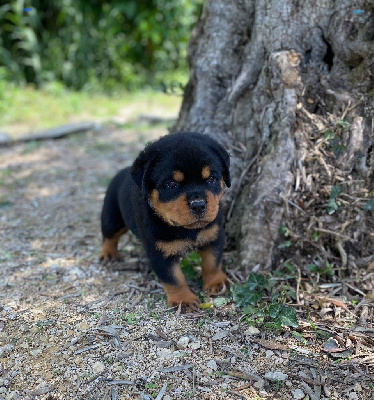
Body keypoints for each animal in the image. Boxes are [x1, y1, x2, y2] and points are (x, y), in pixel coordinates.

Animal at [101, 132, 231, 312]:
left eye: (211, 179)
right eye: (171, 184)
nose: (198, 204)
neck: (186, 229)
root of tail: (123, 171)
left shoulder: (214, 236)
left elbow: (213, 261)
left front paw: (216, 282)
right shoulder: (159, 252)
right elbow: (174, 278)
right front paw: (184, 299)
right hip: (112, 216)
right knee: (109, 235)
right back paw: (108, 253)